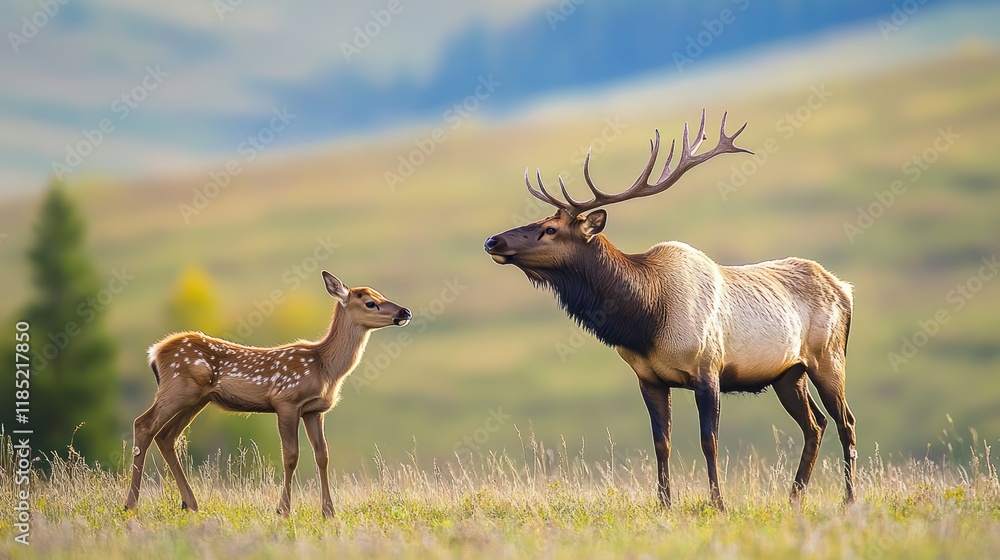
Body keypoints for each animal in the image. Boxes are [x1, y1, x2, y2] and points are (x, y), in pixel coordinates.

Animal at [123, 271, 411, 517]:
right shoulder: (286, 400)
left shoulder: (315, 410)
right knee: (143, 424)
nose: (405, 311)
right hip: (178, 388)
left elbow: (322, 456)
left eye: (381, 294)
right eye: (370, 303)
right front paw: (283, 510)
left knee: (166, 436)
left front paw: (328, 512)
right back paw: (131, 504)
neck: (325, 367)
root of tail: (155, 352)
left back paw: (190, 504)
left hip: (197, 399)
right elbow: (291, 456)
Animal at [484, 110, 856, 511]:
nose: (492, 240)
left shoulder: (708, 369)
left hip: (828, 358)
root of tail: (845, 289)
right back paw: (794, 497)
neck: (646, 319)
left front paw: (718, 503)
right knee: (814, 425)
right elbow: (661, 443)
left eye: (551, 229)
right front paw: (664, 504)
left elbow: (709, 442)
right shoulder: (648, 378)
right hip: (788, 373)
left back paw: (850, 498)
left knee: (845, 422)